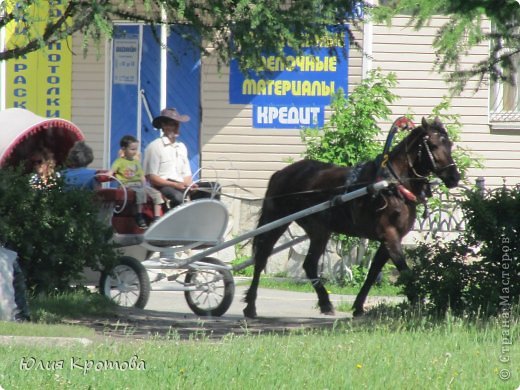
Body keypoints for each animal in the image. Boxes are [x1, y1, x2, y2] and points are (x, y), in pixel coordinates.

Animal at [244, 116, 460, 316]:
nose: (454, 177)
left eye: (449, 144)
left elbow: (373, 273)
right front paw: (418, 303)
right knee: (265, 258)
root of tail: (281, 173)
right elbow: (404, 270)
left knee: (307, 264)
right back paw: (252, 306)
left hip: (319, 229)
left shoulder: (388, 239)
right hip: (279, 222)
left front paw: (358, 307)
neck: (391, 184)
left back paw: (323, 303)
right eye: (433, 145)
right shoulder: (389, 235)